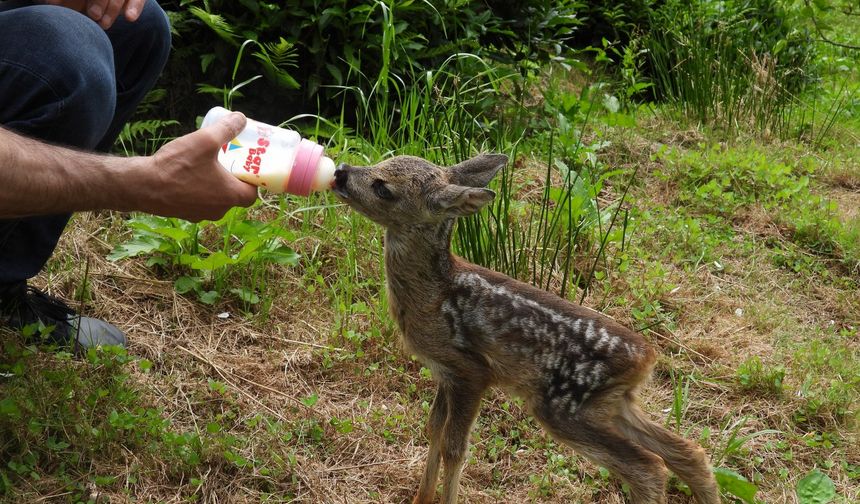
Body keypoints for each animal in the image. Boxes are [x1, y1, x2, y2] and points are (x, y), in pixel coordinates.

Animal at [332, 155, 724, 504]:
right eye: (381, 162)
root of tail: (647, 358)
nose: (340, 172)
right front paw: (419, 498)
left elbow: (455, 448)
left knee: (648, 468)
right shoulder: (444, 371)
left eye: (383, 187)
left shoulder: (471, 370)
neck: (434, 293)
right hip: (612, 404)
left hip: (563, 406)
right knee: (688, 451)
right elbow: (433, 429)